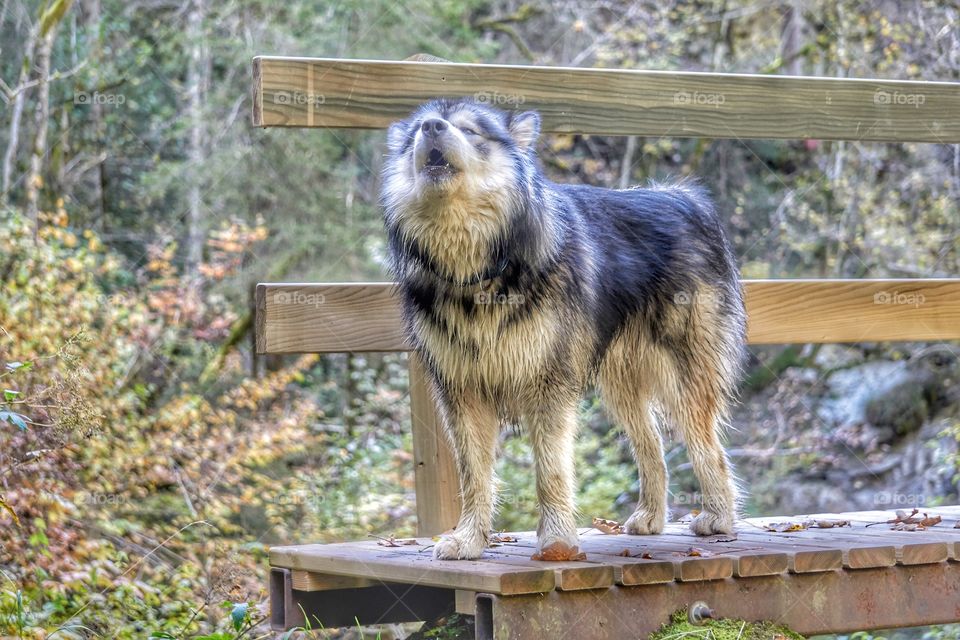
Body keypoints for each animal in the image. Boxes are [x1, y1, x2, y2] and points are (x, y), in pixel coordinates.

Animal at [380, 98, 746, 561]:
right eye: (415, 134)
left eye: (470, 130)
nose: (431, 127)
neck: (474, 267)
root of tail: (684, 197)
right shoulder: (462, 391)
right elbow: (474, 476)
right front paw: (469, 540)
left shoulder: (548, 383)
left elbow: (551, 470)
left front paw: (556, 541)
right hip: (620, 384)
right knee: (652, 445)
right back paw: (651, 516)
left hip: (683, 376)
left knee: (709, 447)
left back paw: (718, 517)